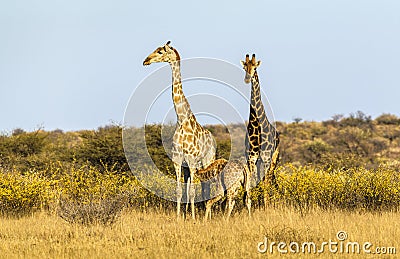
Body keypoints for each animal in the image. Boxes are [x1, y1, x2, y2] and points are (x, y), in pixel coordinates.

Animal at [143, 41, 216, 220]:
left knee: (208, 185)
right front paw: (179, 217)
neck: (182, 120)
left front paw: (194, 217)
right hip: (189, 168)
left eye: (160, 51)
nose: (146, 61)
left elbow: (192, 191)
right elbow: (179, 190)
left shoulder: (191, 160)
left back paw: (207, 215)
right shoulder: (177, 160)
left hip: (207, 161)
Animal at [241, 53, 282, 208]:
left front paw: (266, 207)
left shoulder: (265, 157)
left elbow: (264, 183)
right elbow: (252, 182)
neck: (256, 123)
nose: (247, 79)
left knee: (269, 179)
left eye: (255, 67)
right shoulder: (251, 158)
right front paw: (250, 205)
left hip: (273, 159)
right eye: (244, 67)